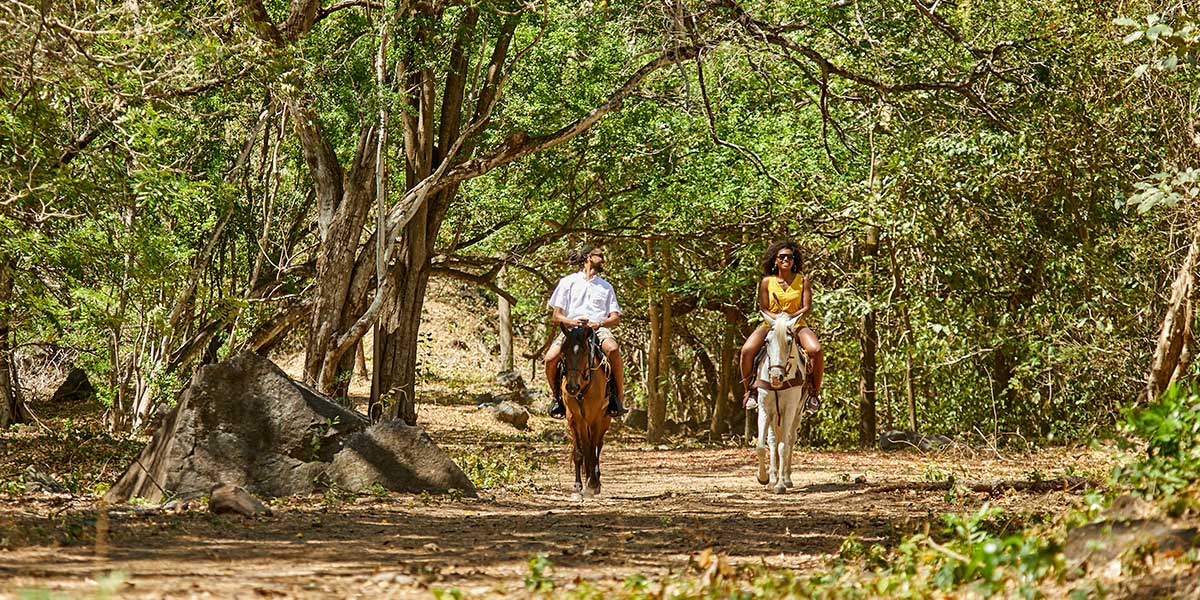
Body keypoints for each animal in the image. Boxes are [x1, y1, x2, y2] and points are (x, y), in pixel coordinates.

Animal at [554, 326, 609, 494]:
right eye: (563, 352)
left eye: (585, 353)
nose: (572, 387)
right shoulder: (575, 418)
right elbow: (581, 451)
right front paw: (579, 485)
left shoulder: (596, 418)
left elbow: (592, 448)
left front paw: (592, 484)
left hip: (605, 420)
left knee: (598, 445)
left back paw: (595, 479)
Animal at [753, 309, 811, 492]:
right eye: (766, 341)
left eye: (789, 341)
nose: (775, 377)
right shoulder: (764, 408)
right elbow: (761, 446)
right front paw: (764, 478)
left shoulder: (790, 409)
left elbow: (783, 446)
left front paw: (780, 484)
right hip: (773, 415)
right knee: (772, 440)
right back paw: (773, 477)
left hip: (797, 413)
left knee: (790, 439)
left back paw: (786, 478)